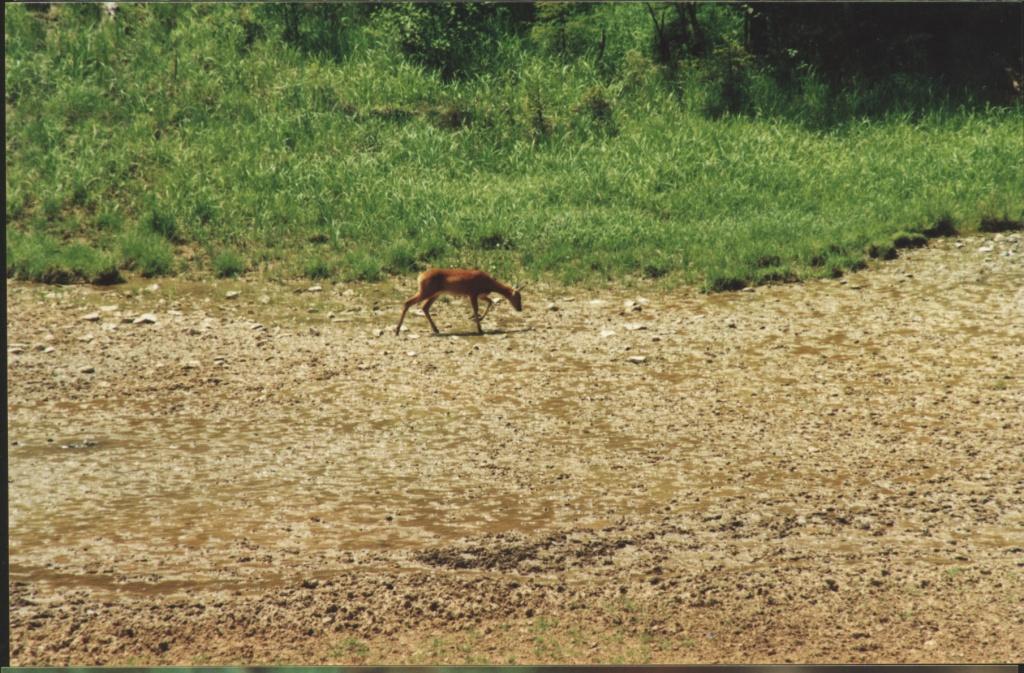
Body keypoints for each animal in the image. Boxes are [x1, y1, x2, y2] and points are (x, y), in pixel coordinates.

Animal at [395, 268, 524, 335]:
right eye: (518, 297)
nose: (520, 309)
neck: (489, 283)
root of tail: (420, 276)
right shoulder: (472, 293)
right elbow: (476, 308)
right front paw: (479, 329)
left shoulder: (481, 295)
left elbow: (490, 302)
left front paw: (476, 319)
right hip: (426, 291)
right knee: (408, 302)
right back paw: (397, 330)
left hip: (435, 293)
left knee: (424, 307)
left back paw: (436, 330)